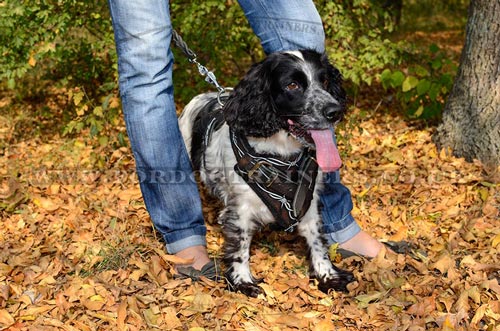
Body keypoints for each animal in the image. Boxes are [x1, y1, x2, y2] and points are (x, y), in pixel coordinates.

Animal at [180, 50, 356, 298]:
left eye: (324, 81)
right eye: (292, 85)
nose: (335, 111)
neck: (280, 155)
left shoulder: (308, 202)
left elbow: (317, 242)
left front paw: (328, 276)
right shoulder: (241, 209)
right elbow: (240, 248)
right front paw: (243, 281)